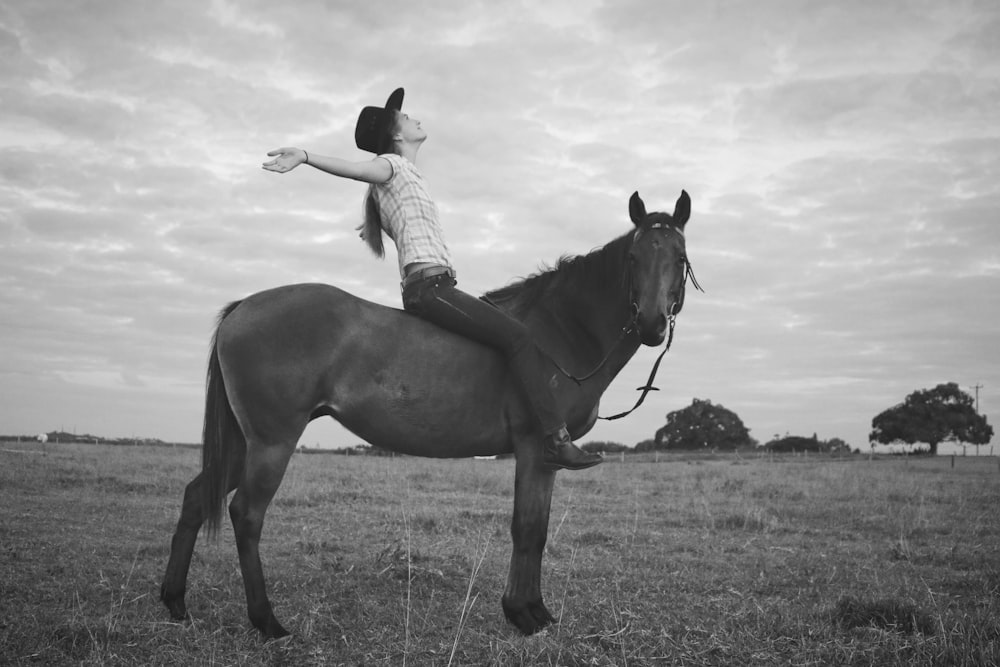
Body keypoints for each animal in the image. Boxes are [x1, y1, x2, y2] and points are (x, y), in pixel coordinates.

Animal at [160, 190, 700, 640]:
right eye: (633, 258)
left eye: (678, 257)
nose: (652, 324)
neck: (561, 331)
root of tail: (243, 307)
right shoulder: (533, 448)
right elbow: (525, 529)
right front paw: (521, 614)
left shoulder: (547, 458)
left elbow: (539, 532)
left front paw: (537, 612)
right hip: (272, 442)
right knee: (247, 515)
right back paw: (267, 622)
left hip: (244, 442)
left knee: (196, 498)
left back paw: (175, 603)